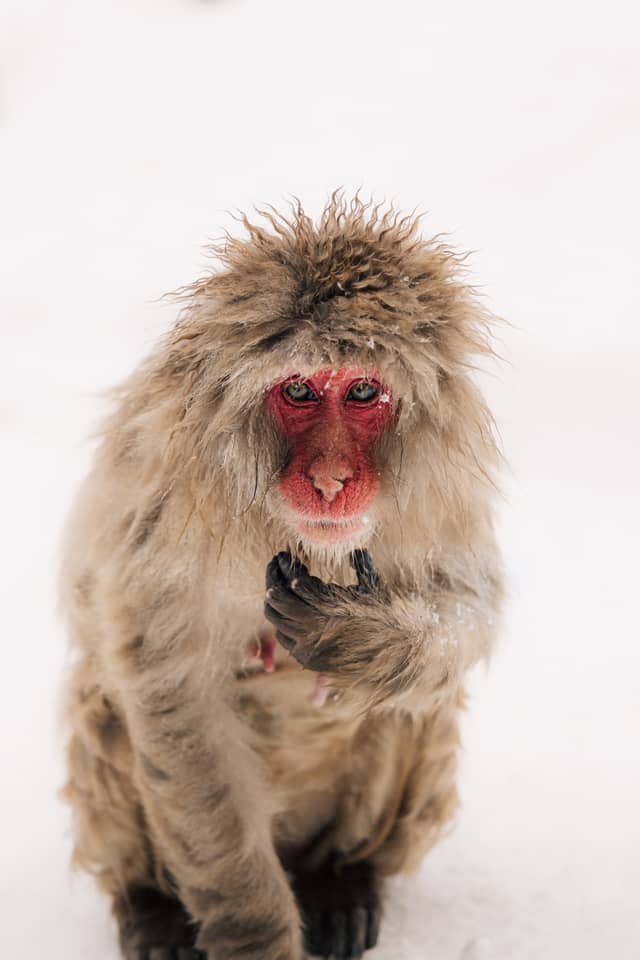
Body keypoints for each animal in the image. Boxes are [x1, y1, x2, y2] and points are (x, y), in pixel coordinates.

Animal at [60, 194, 503, 960]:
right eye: (298, 390)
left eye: (362, 391)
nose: (330, 480)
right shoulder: (169, 503)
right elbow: (176, 697)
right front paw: (255, 937)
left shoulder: (441, 491)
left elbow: (471, 603)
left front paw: (365, 637)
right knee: (106, 701)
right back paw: (151, 904)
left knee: (414, 702)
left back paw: (339, 881)